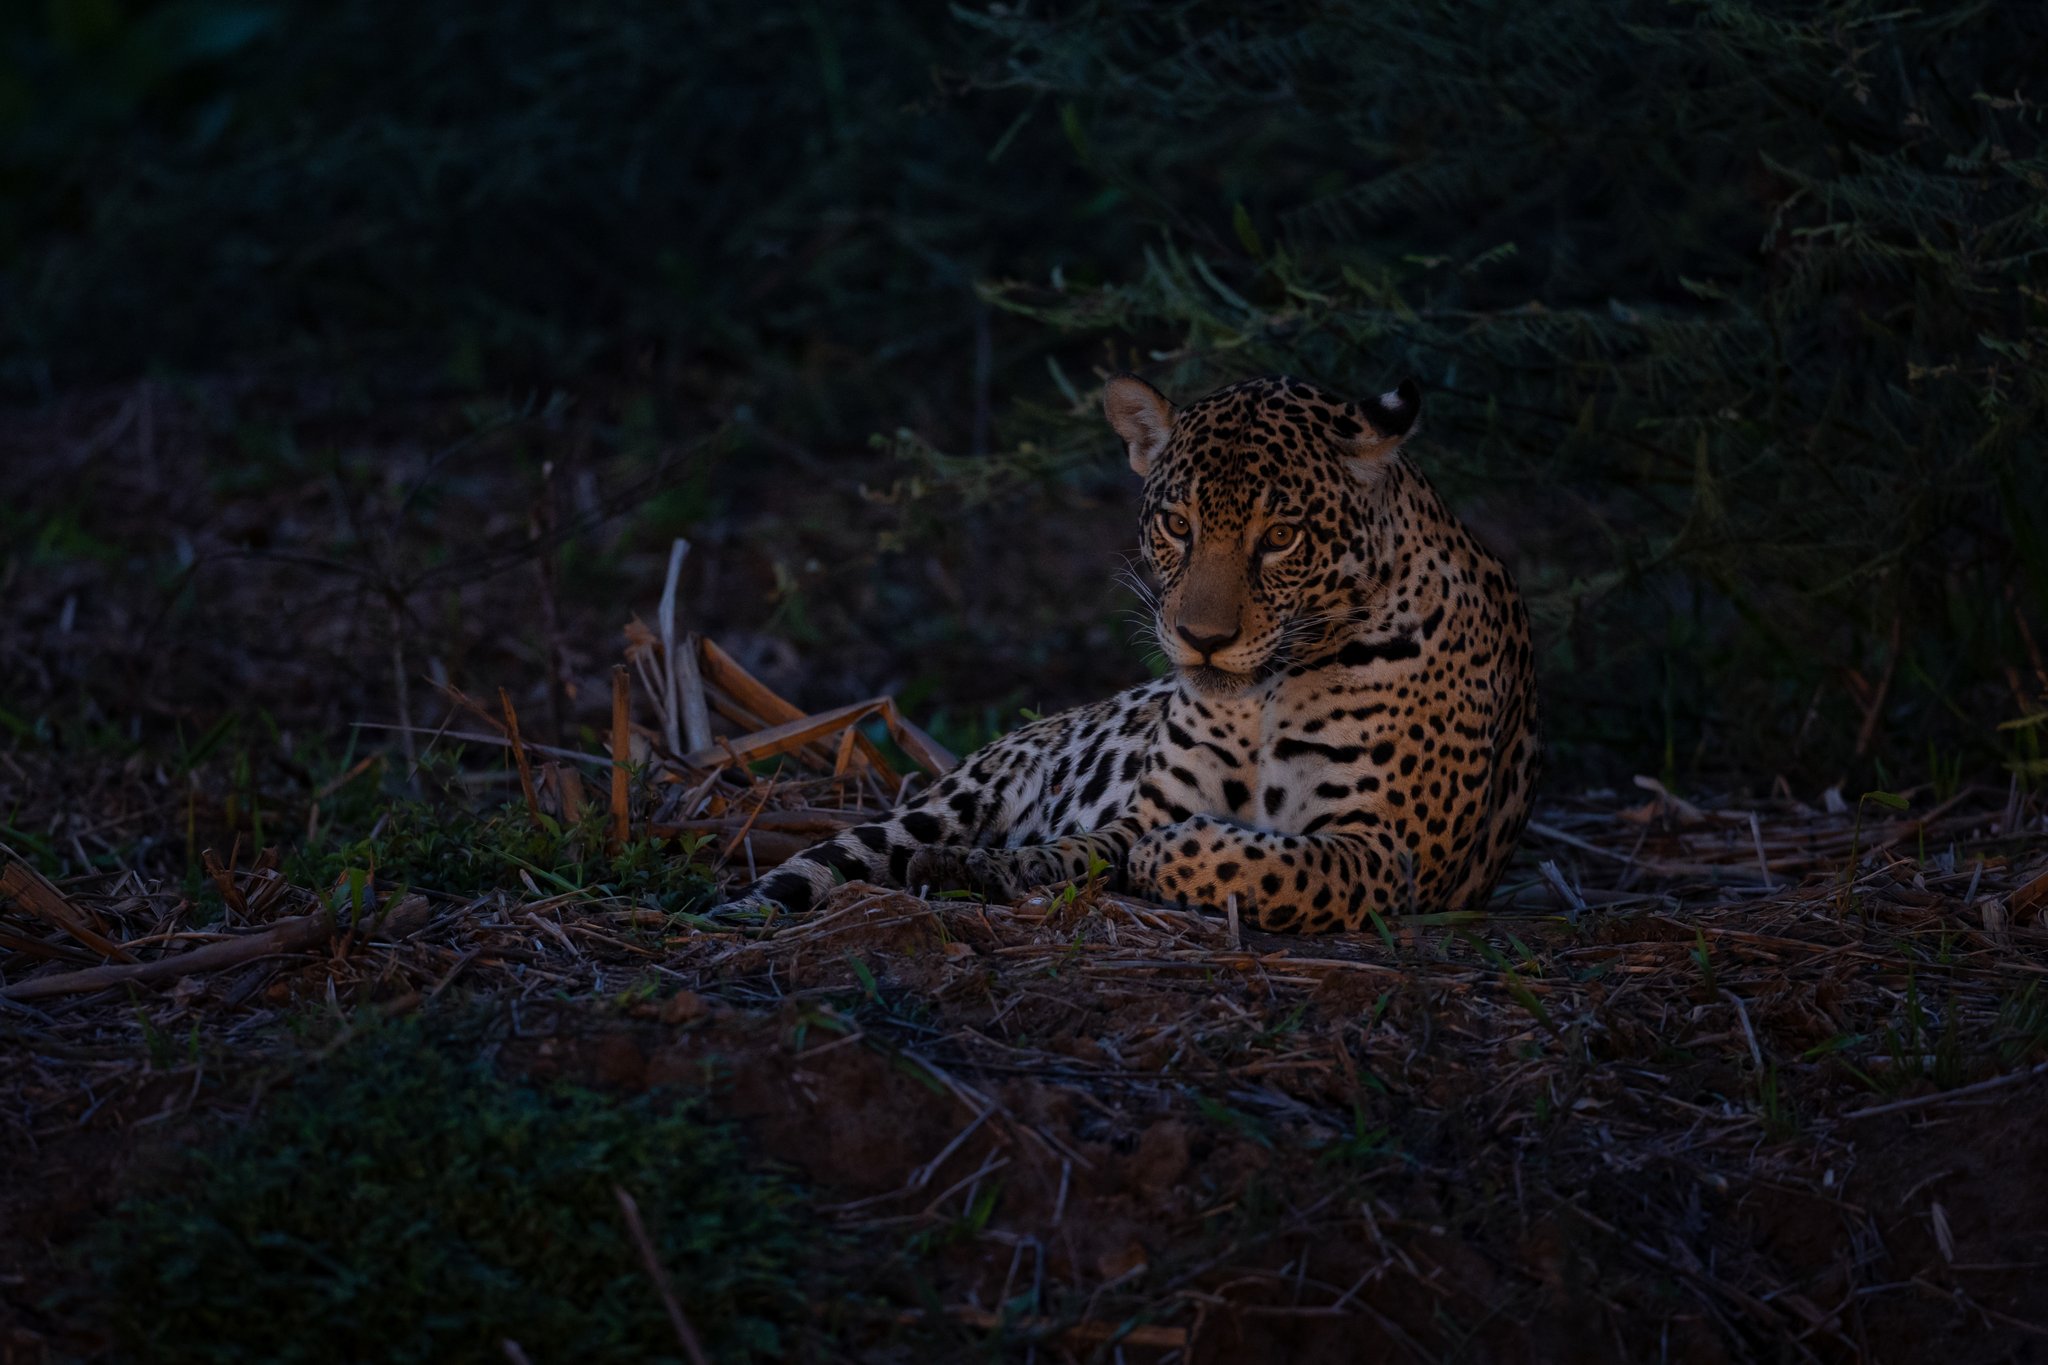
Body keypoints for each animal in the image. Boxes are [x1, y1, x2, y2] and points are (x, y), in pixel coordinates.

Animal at [734, 371, 1539, 932]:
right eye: (1178, 525)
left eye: (1281, 537)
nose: (1203, 640)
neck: (1266, 698)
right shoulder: (1154, 805)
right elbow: (1081, 848)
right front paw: (998, 866)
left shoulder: (1389, 849)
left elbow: (1279, 868)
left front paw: (1171, 856)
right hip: (949, 797)